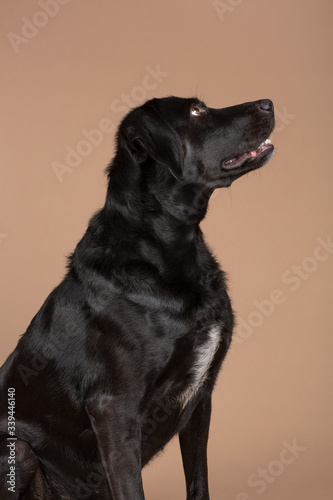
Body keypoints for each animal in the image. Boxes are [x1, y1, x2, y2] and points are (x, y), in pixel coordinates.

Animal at [0, 95, 274, 498]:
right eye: (196, 111)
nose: (268, 103)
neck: (167, 247)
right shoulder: (114, 408)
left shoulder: (201, 397)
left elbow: (198, 481)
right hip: (17, 447)